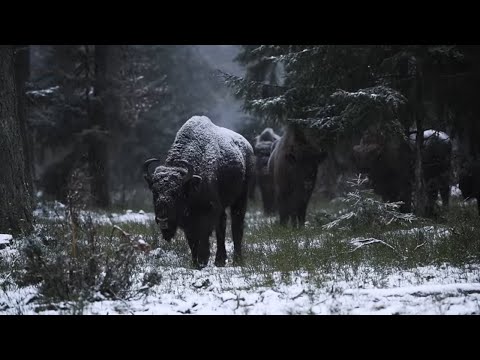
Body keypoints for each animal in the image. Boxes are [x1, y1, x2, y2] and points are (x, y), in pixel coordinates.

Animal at [142, 115, 255, 268]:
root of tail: (247, 146)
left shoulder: (209, 211)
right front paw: (196, 261)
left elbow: (203, 235)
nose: (162, 219)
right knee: (222, 226)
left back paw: (237, 260)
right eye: (154, 192)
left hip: (241, 197)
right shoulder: (189, 220)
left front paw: (202, 259)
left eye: (176, 193)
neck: (191, 183)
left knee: (236, 226)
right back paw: (220, 260)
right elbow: (192, 239)